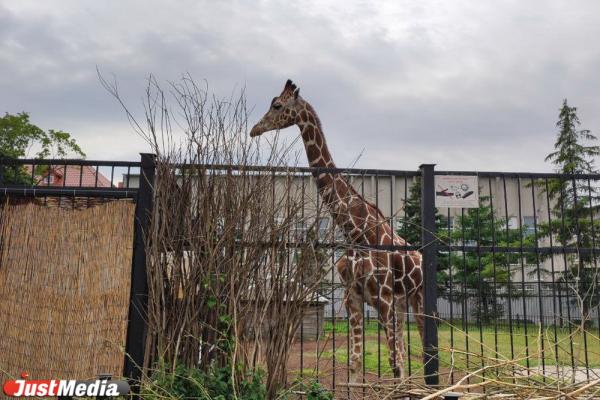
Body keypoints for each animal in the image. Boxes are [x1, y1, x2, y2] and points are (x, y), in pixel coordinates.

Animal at [251, 79, 424, 380]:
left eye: (277, 105)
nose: (254, 129)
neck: (357, 233)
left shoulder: (384, 299)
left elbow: (395, 365)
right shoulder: (352, 299)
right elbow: (355, 363)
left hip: (420, 300)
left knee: (423, 353)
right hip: (402, 306)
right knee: (405, 351)